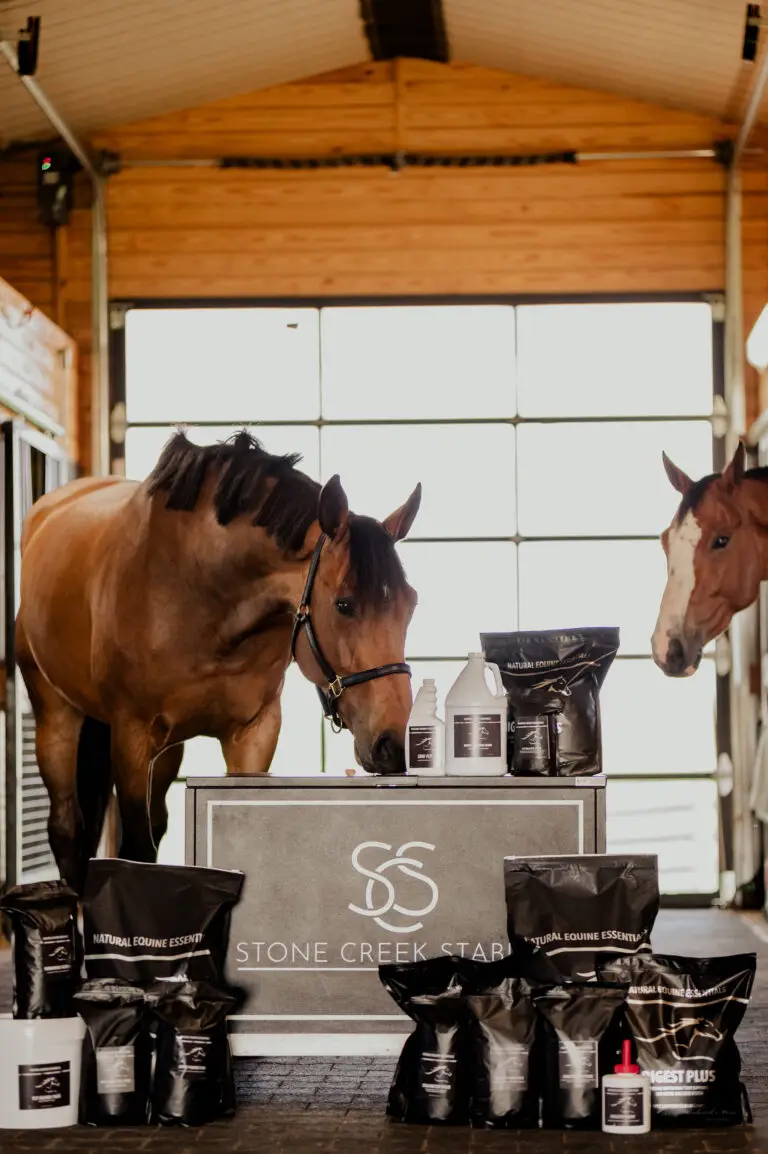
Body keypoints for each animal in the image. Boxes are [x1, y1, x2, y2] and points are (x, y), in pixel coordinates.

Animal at [15, 430, 421, 892]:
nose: (395, 744)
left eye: (411, 604)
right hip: (55, 713)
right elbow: (136, 852)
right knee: (66, 828)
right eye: (345, 605)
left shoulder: (254, 734)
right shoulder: (131, 738)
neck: (201, 591)